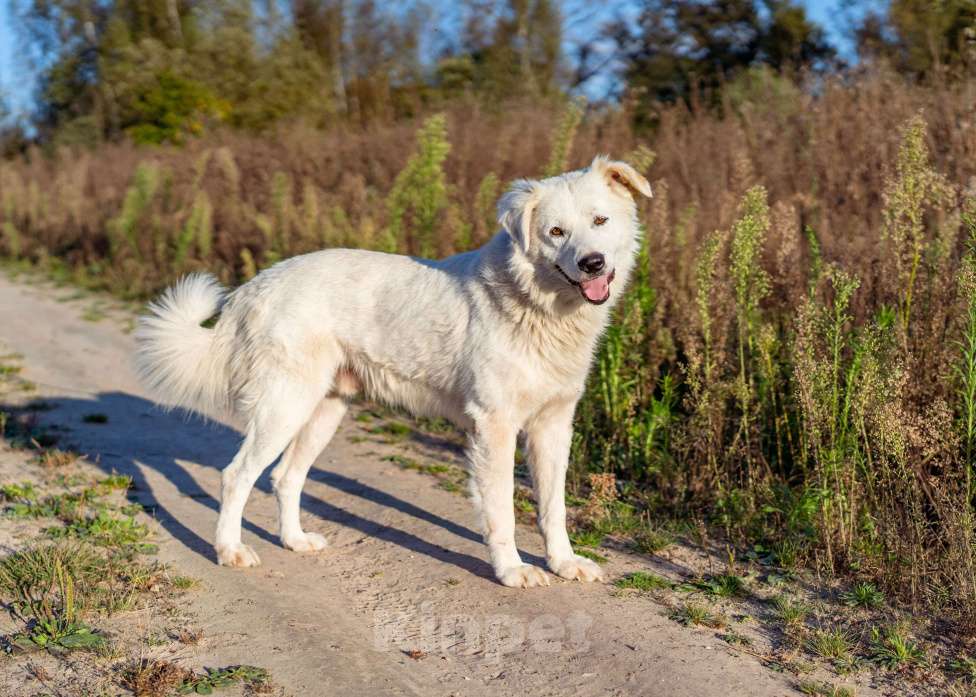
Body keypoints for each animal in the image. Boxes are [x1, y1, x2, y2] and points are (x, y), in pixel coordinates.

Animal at [135, 155, 648, 584]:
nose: (592, 263)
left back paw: (294, 541)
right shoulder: (494, 427)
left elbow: (552, 508)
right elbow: (501, 510)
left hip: (324, 411)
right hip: (284, 406)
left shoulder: (553, 426)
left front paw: (564, 562)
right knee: (236, 476)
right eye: (556, 232)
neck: (536, 306)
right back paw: (230, 551)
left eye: (600, 221)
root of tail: (255, 285)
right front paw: (512, 570)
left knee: (285, 478)